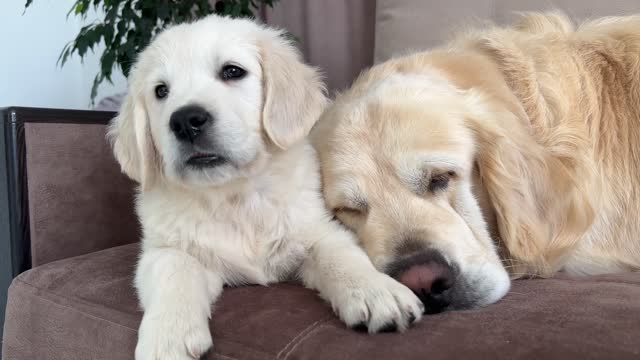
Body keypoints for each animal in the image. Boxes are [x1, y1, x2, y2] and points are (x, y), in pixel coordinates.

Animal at [107, 14, 422, 360]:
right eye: (161, 91)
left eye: (232, 71)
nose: (185, 121)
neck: (234, 195)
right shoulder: (163, 249)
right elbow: (174, 269)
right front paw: (167, 336)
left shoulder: (319, 231)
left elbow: (341, 256)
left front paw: (377, 290)